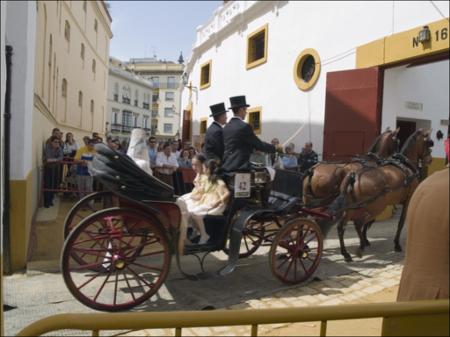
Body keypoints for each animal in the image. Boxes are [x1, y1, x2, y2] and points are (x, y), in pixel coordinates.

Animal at [328, 127, 434, 262]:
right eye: (429, 143)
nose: (429, 159)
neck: (406, 165)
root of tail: (354, 175)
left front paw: (366, 239)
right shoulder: (408, 200)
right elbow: (400, 223)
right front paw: (397, 244)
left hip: (353, 207)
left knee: (342, 226)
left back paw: (346, 253)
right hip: (376, 206)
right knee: (358, 222)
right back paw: (360, 247)